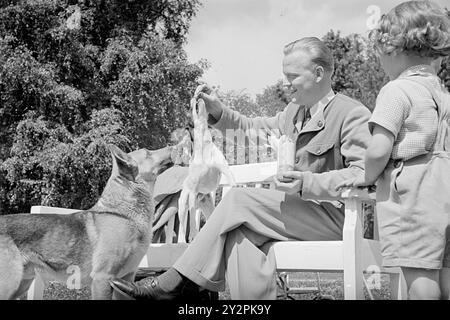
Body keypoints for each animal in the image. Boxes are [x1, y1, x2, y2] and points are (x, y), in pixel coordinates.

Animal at [0, 144, 172, 298]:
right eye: (148, 152)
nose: (172, 147)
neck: (123, 214)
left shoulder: (125, 281)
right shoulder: (103, 279)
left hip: (21, 285)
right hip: (10, 285)